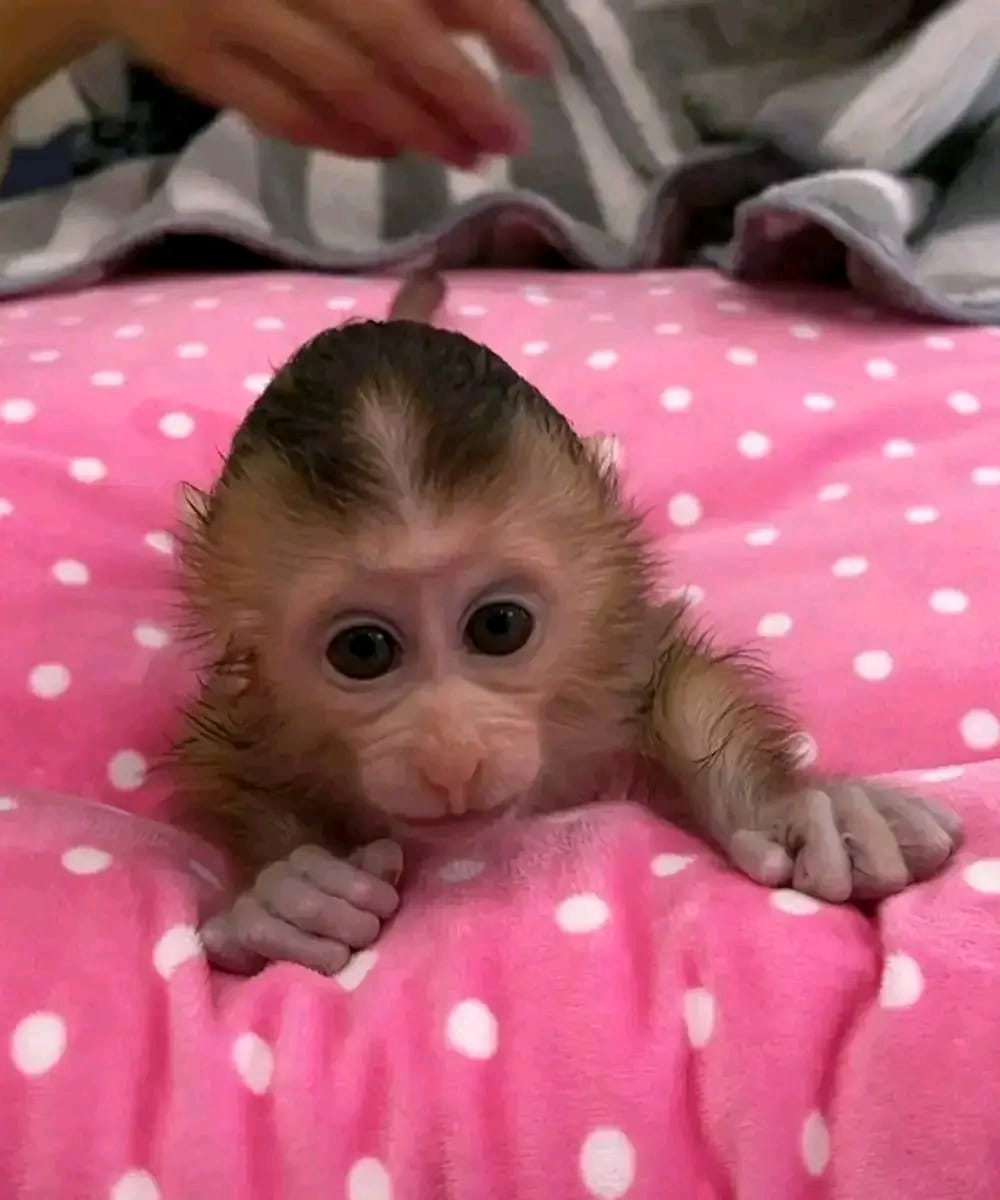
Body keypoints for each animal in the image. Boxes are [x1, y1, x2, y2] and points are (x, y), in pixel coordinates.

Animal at [170, 271, 962, 977]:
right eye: (362, 649)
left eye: (499, 627)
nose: (451, 756)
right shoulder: (258, 704)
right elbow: (233, 760)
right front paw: (287, 893)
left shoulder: (607, 662)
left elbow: (677, 688)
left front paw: (796, 813)